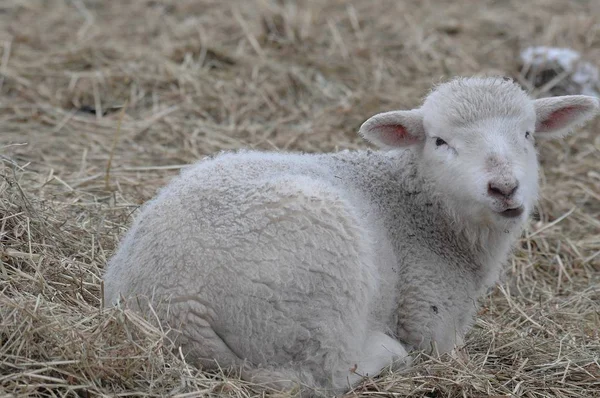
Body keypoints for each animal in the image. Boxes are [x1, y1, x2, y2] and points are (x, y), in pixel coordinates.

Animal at [104, 77, 600, 394]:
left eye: (528, 134)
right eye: (439, 141)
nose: (504, 188)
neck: (423, 208)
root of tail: (173, 307)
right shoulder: (430, 312)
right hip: (314, 289)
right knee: (324, 374)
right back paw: (382, 352)